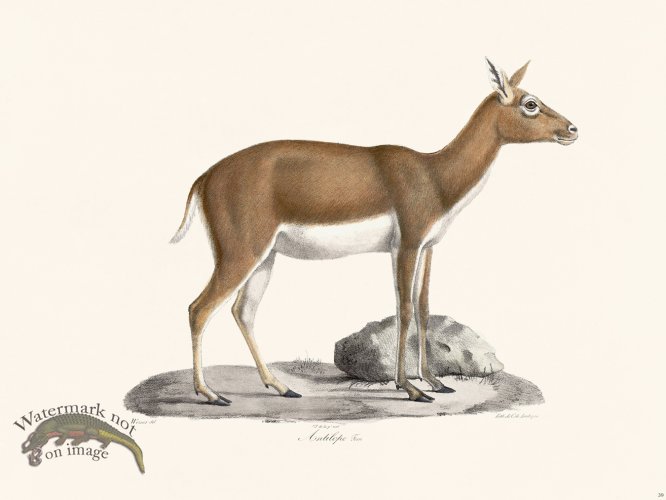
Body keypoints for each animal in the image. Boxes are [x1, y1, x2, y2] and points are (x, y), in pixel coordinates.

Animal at [171, 59, 577, 405]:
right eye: (530, 103)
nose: (572, 129)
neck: (434, 175)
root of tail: (206, 177)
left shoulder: (428, 247)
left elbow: (423, 308)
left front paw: (435, 382)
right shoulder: (406, 245)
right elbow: (404, 309)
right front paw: (410, 389)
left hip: (266, 257)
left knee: (243, 311)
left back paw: (282, 387)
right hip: (240, 252)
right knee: (199, 309)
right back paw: (210, 394)